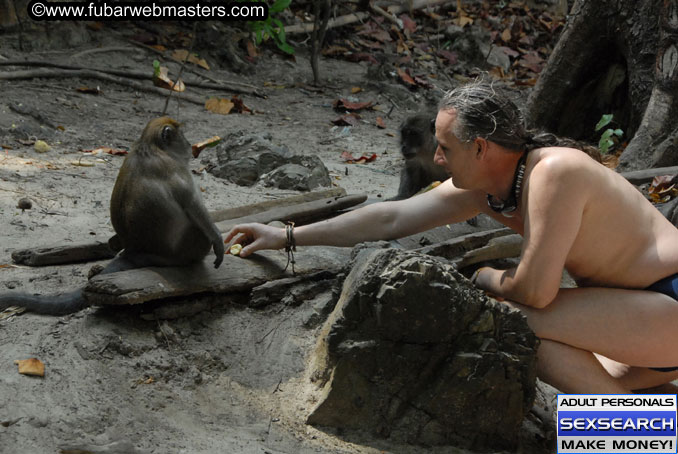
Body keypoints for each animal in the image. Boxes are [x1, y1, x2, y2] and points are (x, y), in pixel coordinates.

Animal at [0, 117, 228, 316]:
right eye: (182, 136)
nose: (189, 145)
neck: (148, 145)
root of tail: (136, 251)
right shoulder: (174, 167)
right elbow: (193, 205)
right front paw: (218, 241)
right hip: (190, 248)